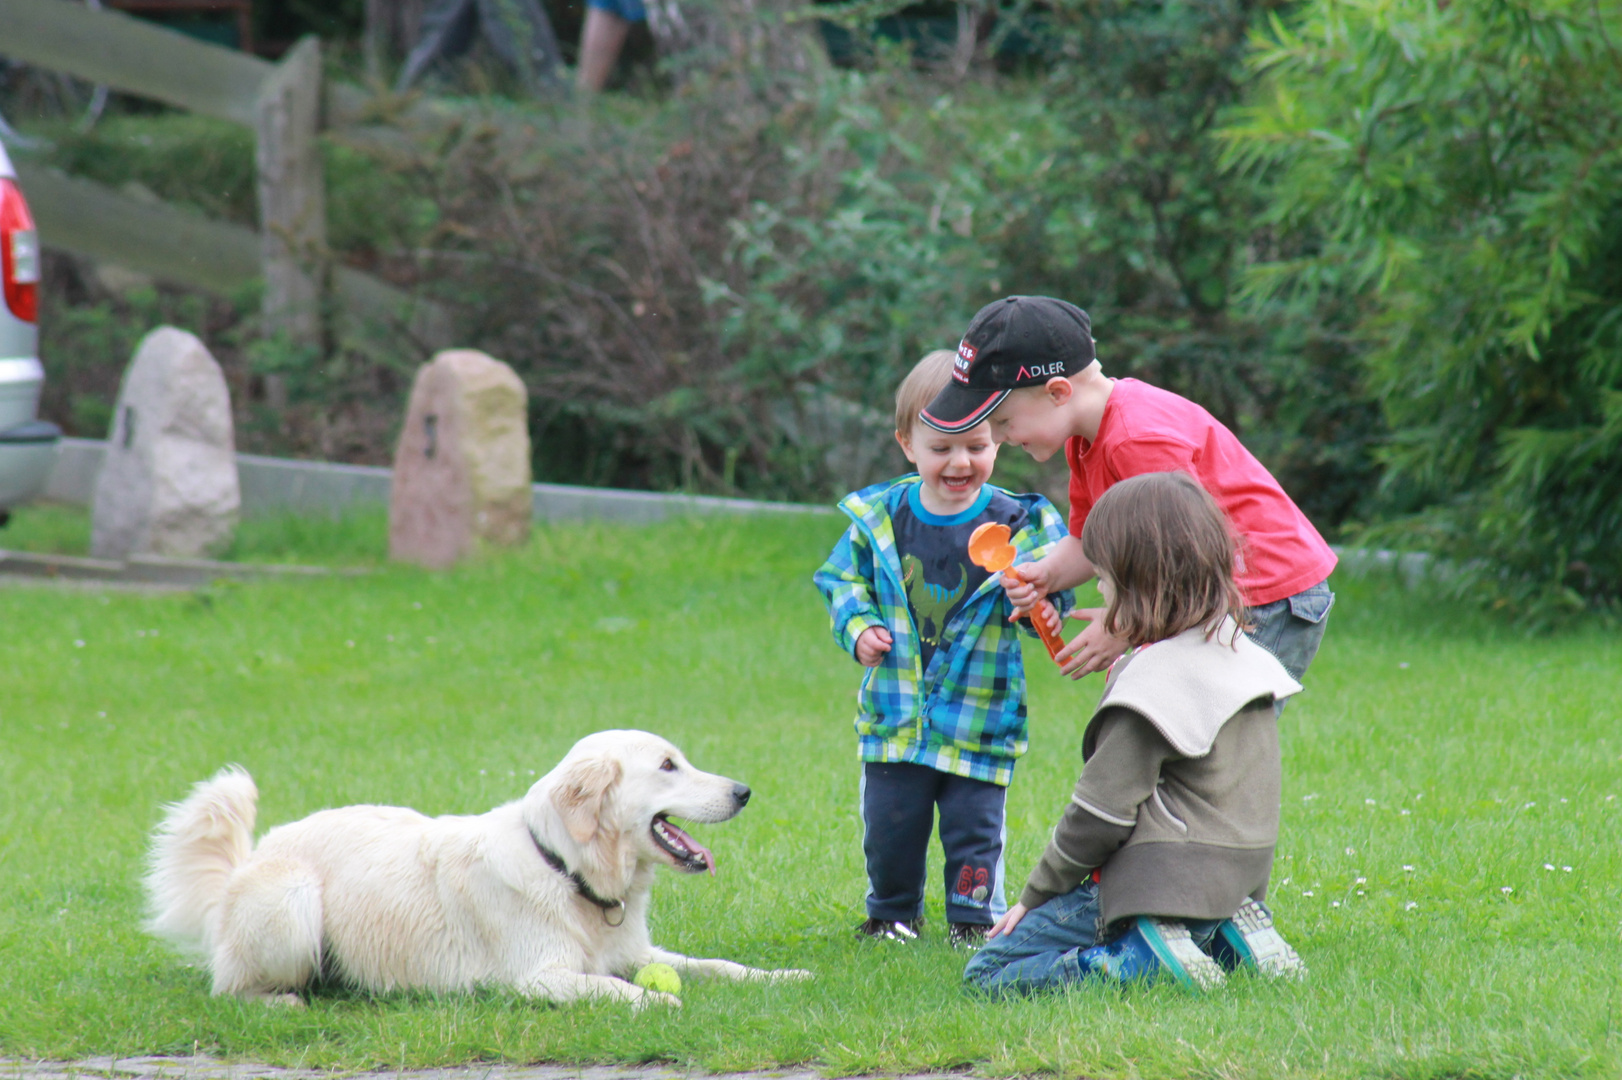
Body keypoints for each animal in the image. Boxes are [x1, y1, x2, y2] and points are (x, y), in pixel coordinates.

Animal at [147, 726, 811, 1005]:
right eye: (669, 766)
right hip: (292, 902)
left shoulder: (639, 952)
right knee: (229, 988)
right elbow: (614, 987)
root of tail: (252, 856)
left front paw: (781, 976)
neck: (565, 868)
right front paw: (658, 1003)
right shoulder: (539, 977)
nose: (745, 792)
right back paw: (282, 1002)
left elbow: (717, 966)